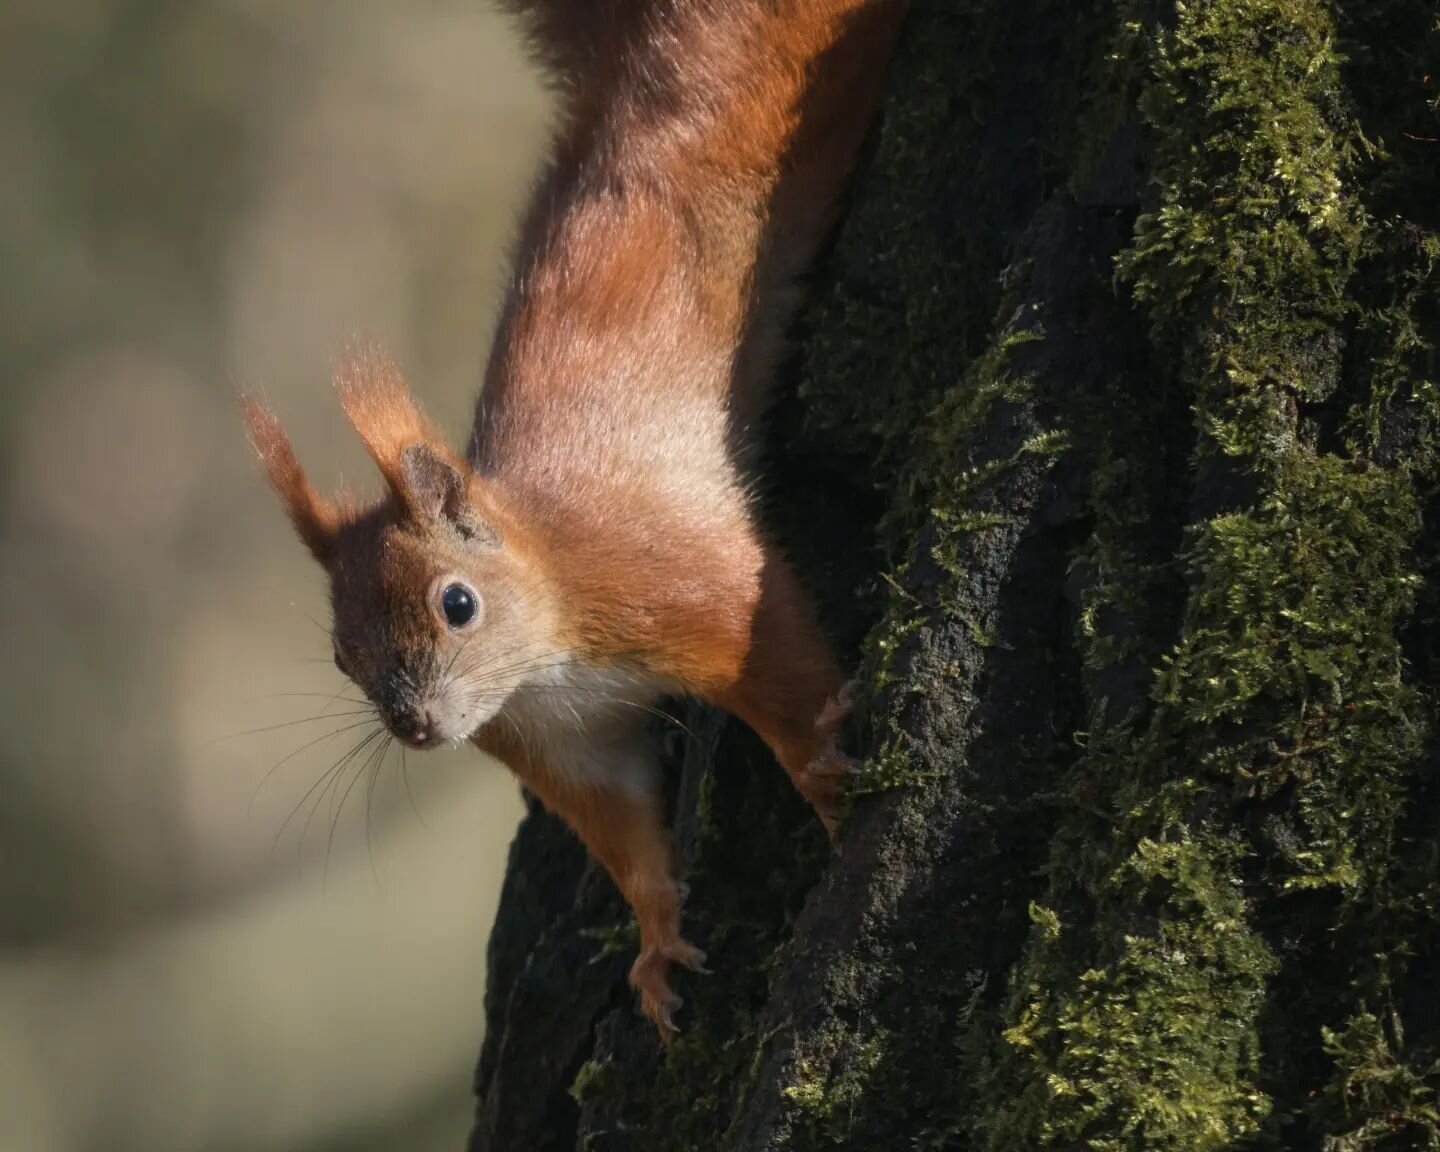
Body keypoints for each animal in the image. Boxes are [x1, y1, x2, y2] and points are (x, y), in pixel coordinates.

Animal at [242, 0, 906, 1041]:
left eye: (457, 604)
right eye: (342, 660)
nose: (416, 727)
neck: (548, 649)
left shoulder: (677, 576)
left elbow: (781, 663)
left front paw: (824, 772)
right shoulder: (566, 747)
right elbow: (626, 835)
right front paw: (657, 940)